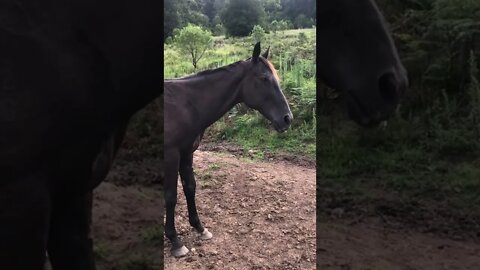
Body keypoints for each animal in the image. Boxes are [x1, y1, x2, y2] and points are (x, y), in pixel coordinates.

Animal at [165, 42, 292, 258]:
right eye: (264, 78)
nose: (287, 118)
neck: (186, 103)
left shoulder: (187, 153)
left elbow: (190, 187)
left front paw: (200, 228)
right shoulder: (171, 156)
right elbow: (171, 196)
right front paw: (175, 241)